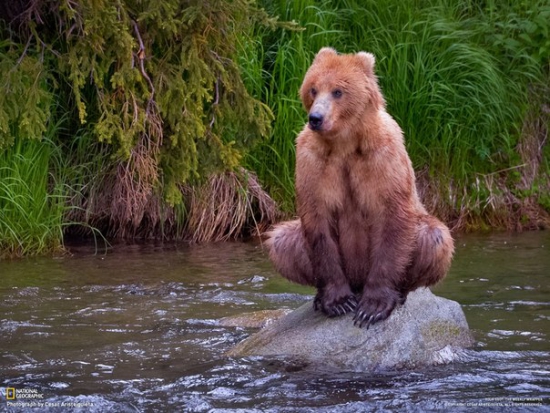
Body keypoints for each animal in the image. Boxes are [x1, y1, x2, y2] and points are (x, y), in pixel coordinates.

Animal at [266, 45, 454, 328]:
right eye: (313, 88)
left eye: (338, 91)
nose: (316, 118)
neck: (344, 142)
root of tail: (358, 281)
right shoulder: (313, 161)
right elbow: (318, 220)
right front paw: (338, 301)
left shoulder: (382, 157)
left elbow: (392, 216)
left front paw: (373, 307)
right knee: (282, 240)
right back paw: (320, 297)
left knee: (434, 236)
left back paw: (400, 292)